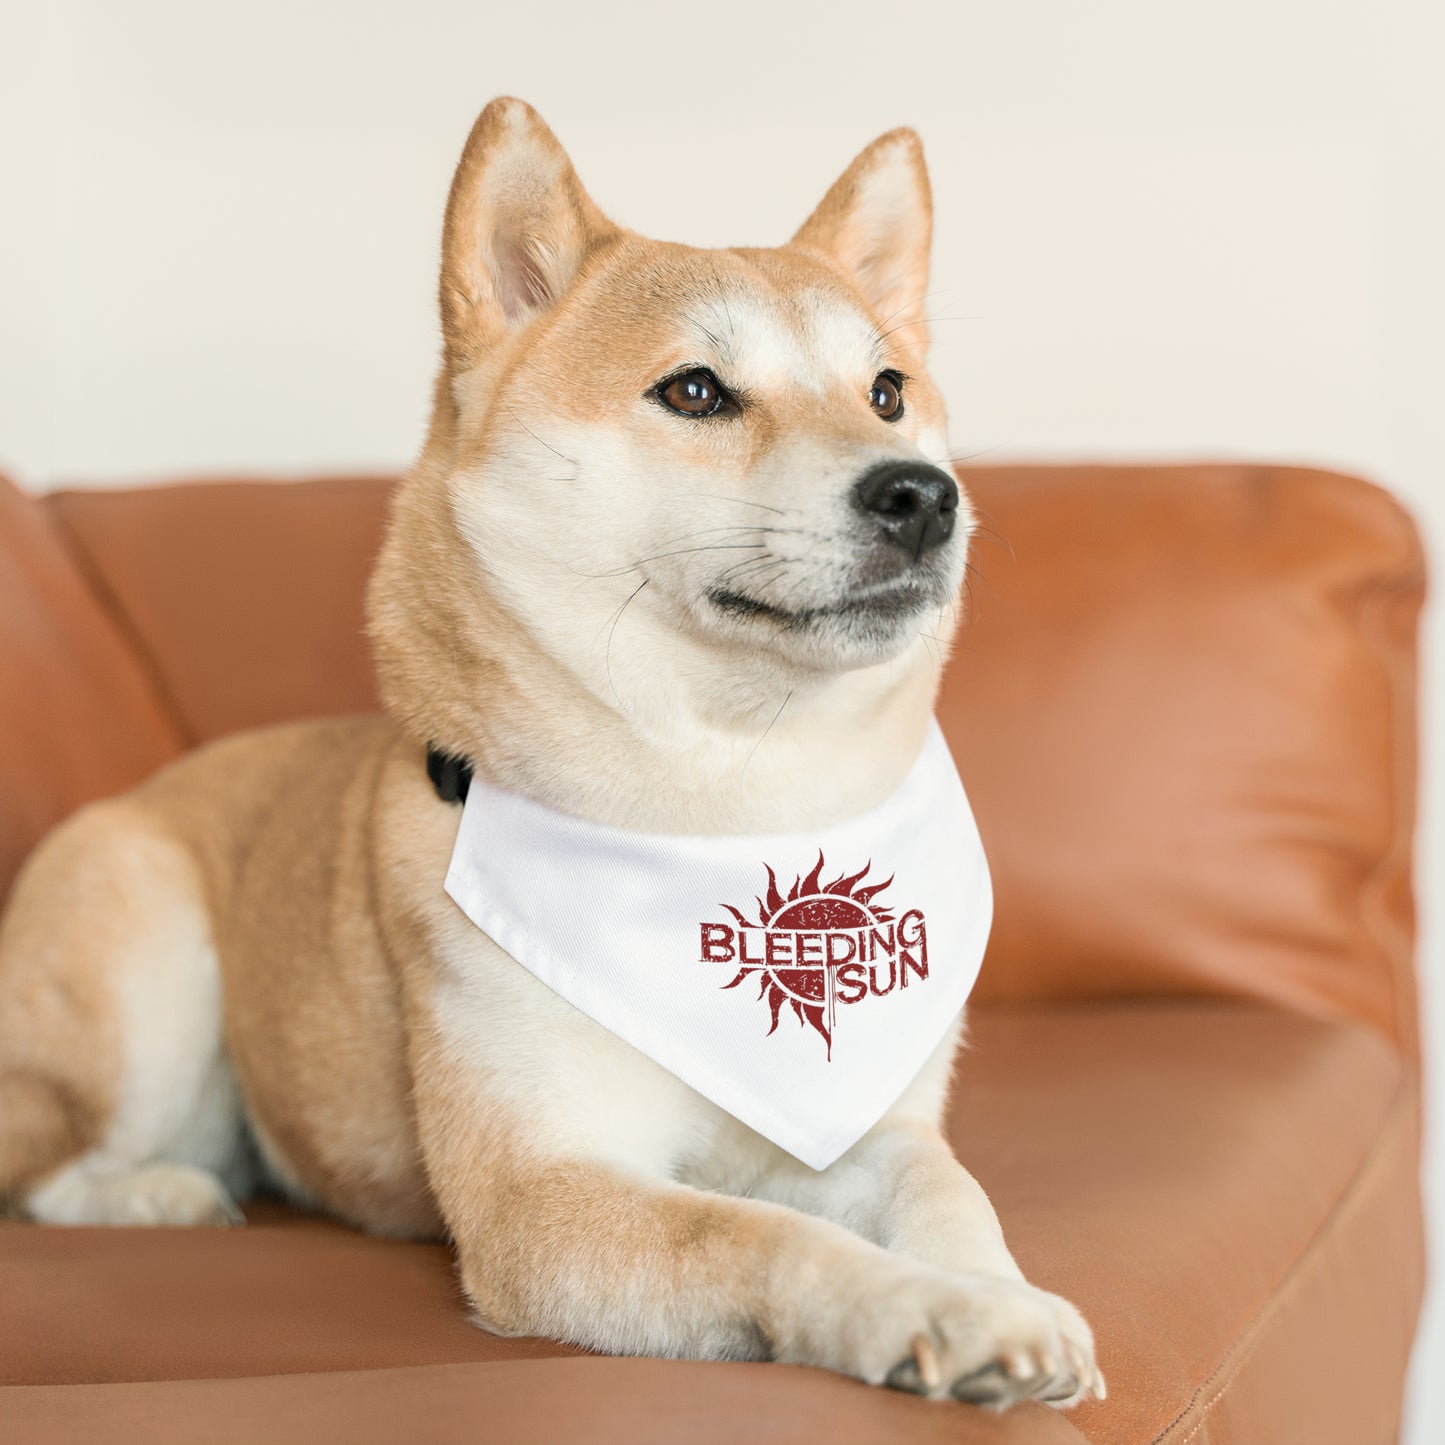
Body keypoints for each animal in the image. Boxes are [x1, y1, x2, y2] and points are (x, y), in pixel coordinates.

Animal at [0, 96, 1098, 1404]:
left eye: (886, 390)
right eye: (694, 390)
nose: (923, 495)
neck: (728, 811)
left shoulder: (870, 1123)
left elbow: (947, 1190)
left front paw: (1001, 1292)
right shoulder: (540, 1193)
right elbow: (763, 1234)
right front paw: (927, 1307)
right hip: (146, 965)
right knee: (47, 1166)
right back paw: (162, 1192)